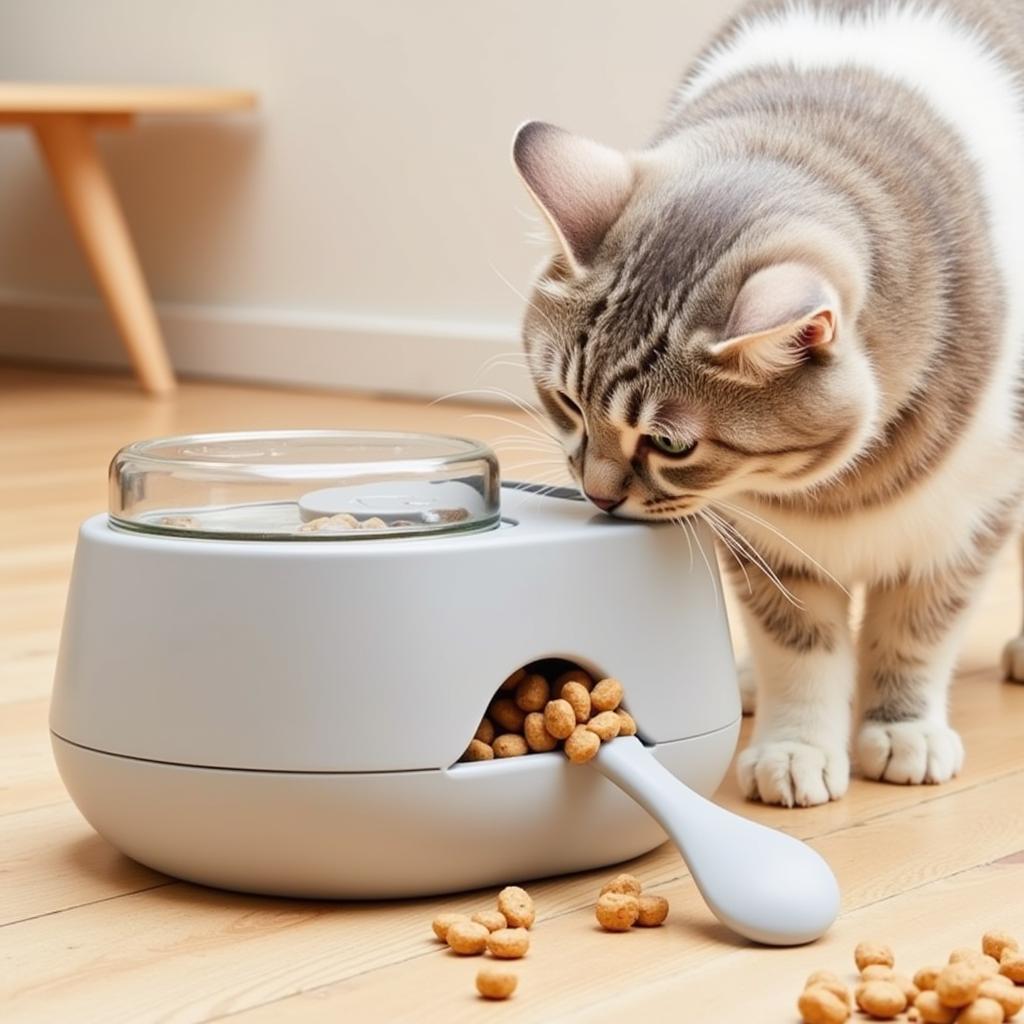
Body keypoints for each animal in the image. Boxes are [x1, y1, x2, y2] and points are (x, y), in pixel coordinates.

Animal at [512, 0, 1024, 802]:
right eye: (566, 399)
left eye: (671, 444)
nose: (597, 496)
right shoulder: (764, 543)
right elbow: (801, 644)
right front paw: (797, 747)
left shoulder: (967, 518)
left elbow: (916, 631)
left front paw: (903, 730)